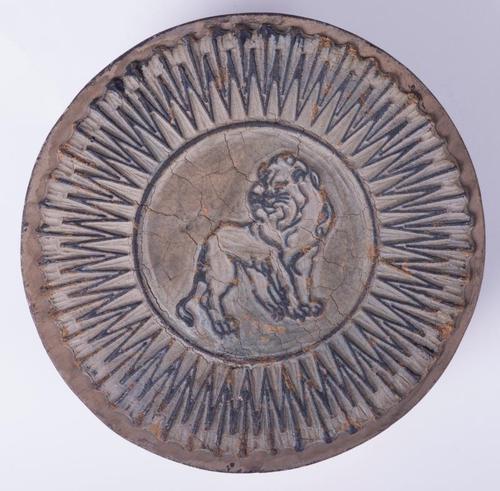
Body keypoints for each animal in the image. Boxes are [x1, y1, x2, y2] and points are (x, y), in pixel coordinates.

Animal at [176, 152, 335, 337]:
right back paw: (223, 325)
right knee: (209, 298)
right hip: (224, 271)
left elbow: (302, 284)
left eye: (277, 185)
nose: (255, 194)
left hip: (252, 268)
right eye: (262, 179)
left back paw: (276, 310)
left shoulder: (305, 258)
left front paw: (308, 306)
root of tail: (207, 240)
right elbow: (288, 285)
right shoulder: (276, 258)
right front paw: (296, 310)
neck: (298, 220)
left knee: (258, 290)